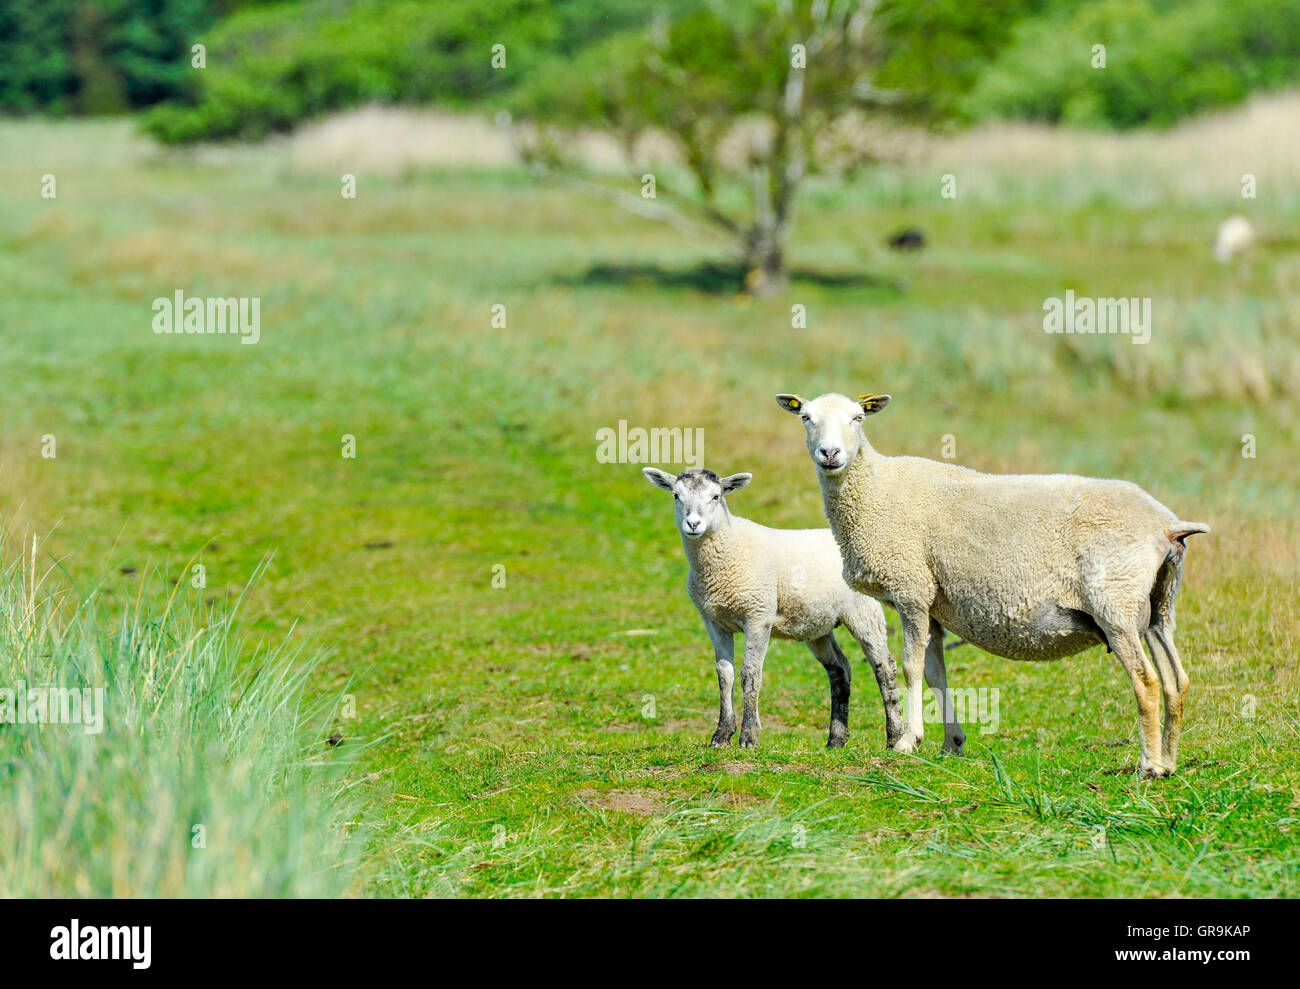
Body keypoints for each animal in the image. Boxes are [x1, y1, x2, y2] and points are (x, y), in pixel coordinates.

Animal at [642, 465, 904, 748]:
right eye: (676, 496)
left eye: (716, 496)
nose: (693, 524)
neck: (728, 549)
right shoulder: (713, 620)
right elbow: (724, 673)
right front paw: (721, 734)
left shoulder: (759, 616)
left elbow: (750, 673)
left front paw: (749, 736)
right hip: (817, 624)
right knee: (839, 669)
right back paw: (835, 740)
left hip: (863, 610)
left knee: (884, 666)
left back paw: (895, 737)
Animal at [769, 392, 1206, 779]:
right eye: (806, 417)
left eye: (857, 418)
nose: (829, 455)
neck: (875, 488)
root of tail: (1167, 526)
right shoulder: (934, 602)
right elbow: (936, 674)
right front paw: (951, 744)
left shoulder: (912, 589)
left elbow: (910, 667)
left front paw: (909, 740)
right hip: (1156, 607)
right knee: (1176, 681)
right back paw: (1168, 764)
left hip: (1115, 603)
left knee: (1147, 682)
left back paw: (1148, 766)